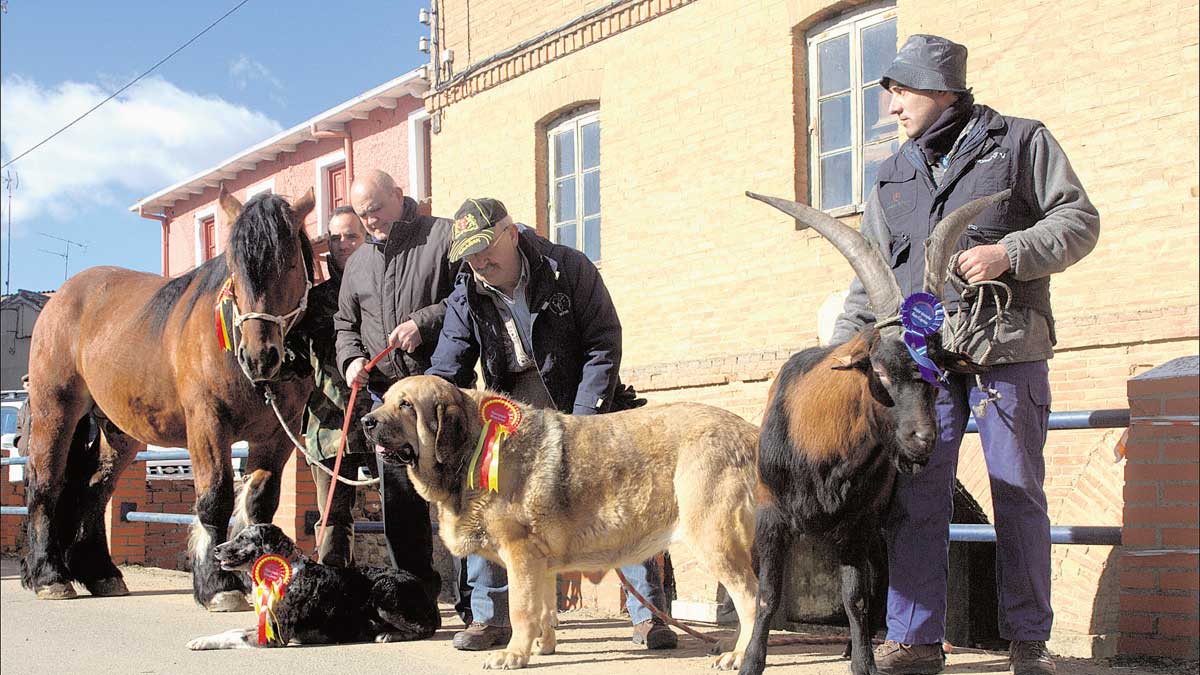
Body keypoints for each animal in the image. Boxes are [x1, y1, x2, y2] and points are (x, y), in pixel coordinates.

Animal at [22, 186, 316, 607]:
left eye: (290, 263)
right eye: (234, 268)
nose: (259, 356)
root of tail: (60, 298)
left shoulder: (279, 433)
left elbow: (260, 502)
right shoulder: (207, 424)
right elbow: (215, 498)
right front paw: (218, 587)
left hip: (118, 432)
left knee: (95, 489)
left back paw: (102, 574)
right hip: (56, 410)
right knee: (46, 484)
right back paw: (50, 576)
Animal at [362, 372, 758, 667]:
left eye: (406, 405)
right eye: (386, 399)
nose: (366, 421)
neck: (472, 447)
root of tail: (747, 432)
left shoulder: (519, 554)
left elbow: (521, 609)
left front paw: (513, 655)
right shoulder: (540, 562)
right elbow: (544, 609)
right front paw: (542, 646)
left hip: (714, 541)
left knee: (753, 599)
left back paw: (740, 655)